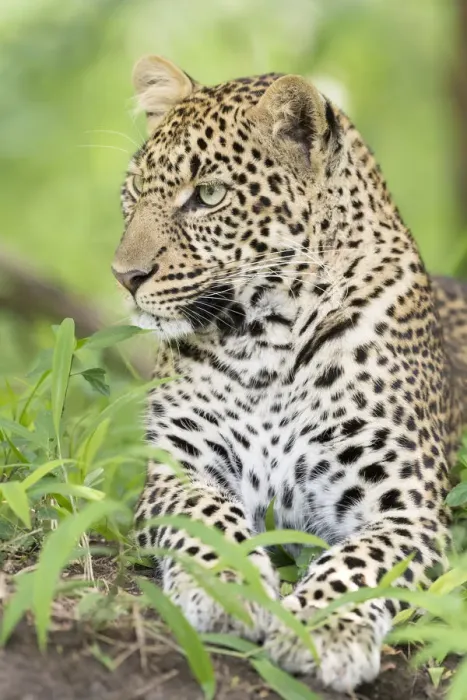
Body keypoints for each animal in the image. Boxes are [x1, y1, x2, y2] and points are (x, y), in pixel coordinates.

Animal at [111, 55, 467, 692]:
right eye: (131, 195)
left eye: (208, 195)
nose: (124, 276)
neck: (266, 341)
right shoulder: (178, 470)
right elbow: (209, 518)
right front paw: (230, 588)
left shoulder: (408, 508)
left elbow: (358, 561)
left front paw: (325, 629)